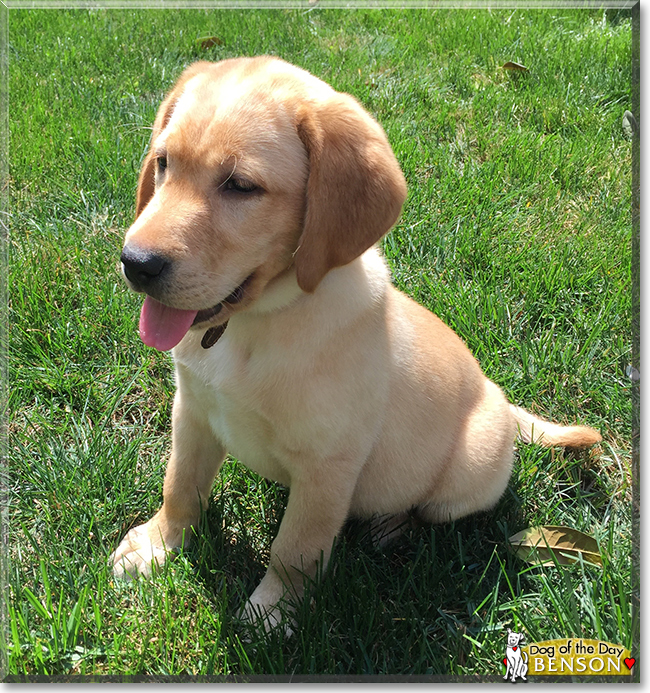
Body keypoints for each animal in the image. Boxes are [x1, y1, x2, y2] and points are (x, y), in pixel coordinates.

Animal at [114, 56, 600, 628]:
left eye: (241, 186)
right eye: (163, 163)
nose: (135, 263)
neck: (254, 323)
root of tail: (502, 402)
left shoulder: (329, 463)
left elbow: (296, 548)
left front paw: (273, 614)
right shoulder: (192, 411)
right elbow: (180, 486)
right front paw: (157, 546)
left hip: (466, 475)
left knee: (424, 508)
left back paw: (388, 526)